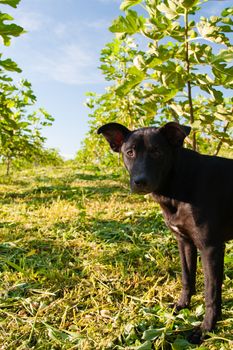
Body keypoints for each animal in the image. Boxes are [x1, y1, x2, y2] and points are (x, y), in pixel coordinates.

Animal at [97, 121, 232, 344]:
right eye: (129, 152)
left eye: (157, 152)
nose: (140, 181)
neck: (180, 181)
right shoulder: (184, 242)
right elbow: (187, 278)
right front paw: (182, 306)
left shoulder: (210, 247)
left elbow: (211, 293)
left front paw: (205, 329)